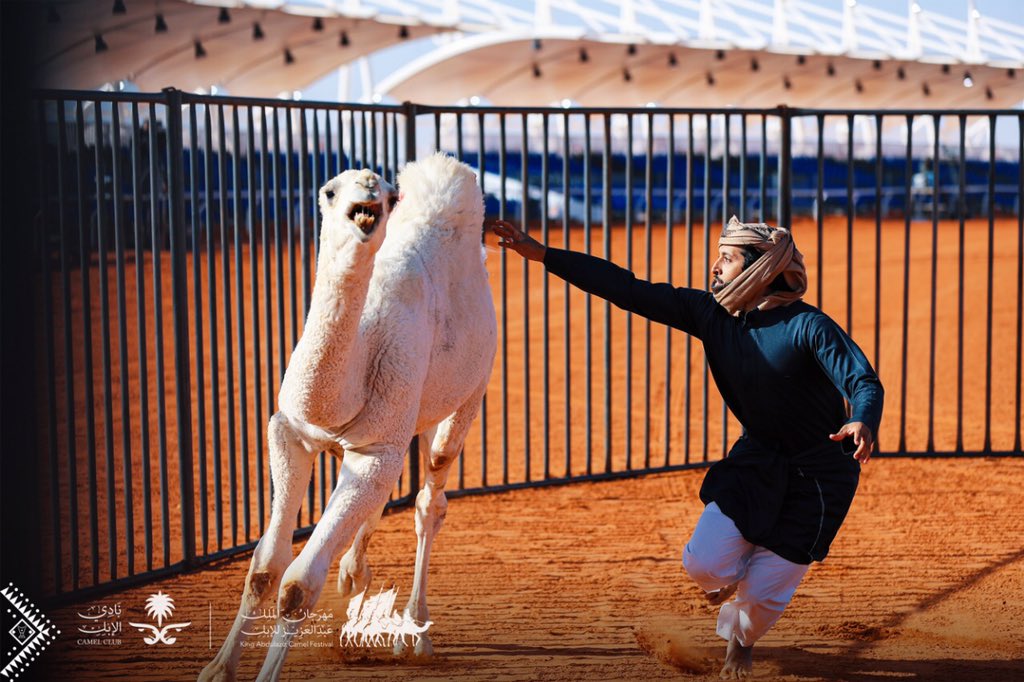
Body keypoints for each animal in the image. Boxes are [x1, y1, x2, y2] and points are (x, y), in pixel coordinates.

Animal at [198, 153, 495, 679]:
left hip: (469, 393)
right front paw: (217, 668)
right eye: (329, 190)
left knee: (430, 496)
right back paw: (355, 583)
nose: (371, 188)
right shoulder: (291, 433)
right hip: (410, 418)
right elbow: (263, 568)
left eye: (389, 195)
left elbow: (297, 585)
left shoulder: (376, 449)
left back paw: (415, 634)